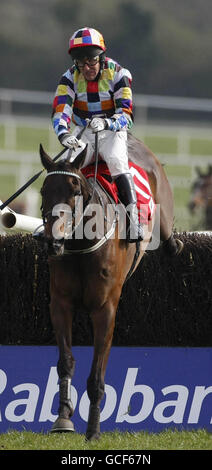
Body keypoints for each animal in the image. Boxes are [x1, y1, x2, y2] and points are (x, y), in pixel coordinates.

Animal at [37, 133, 182, 440]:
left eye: (75, 190)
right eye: (44, 190)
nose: (53, 242)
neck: (81, 244)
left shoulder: (104, 309)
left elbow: (96, 376)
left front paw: (93, 430)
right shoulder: (61, 304)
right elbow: (65, 362)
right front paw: (63, 417)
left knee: (171, 242)